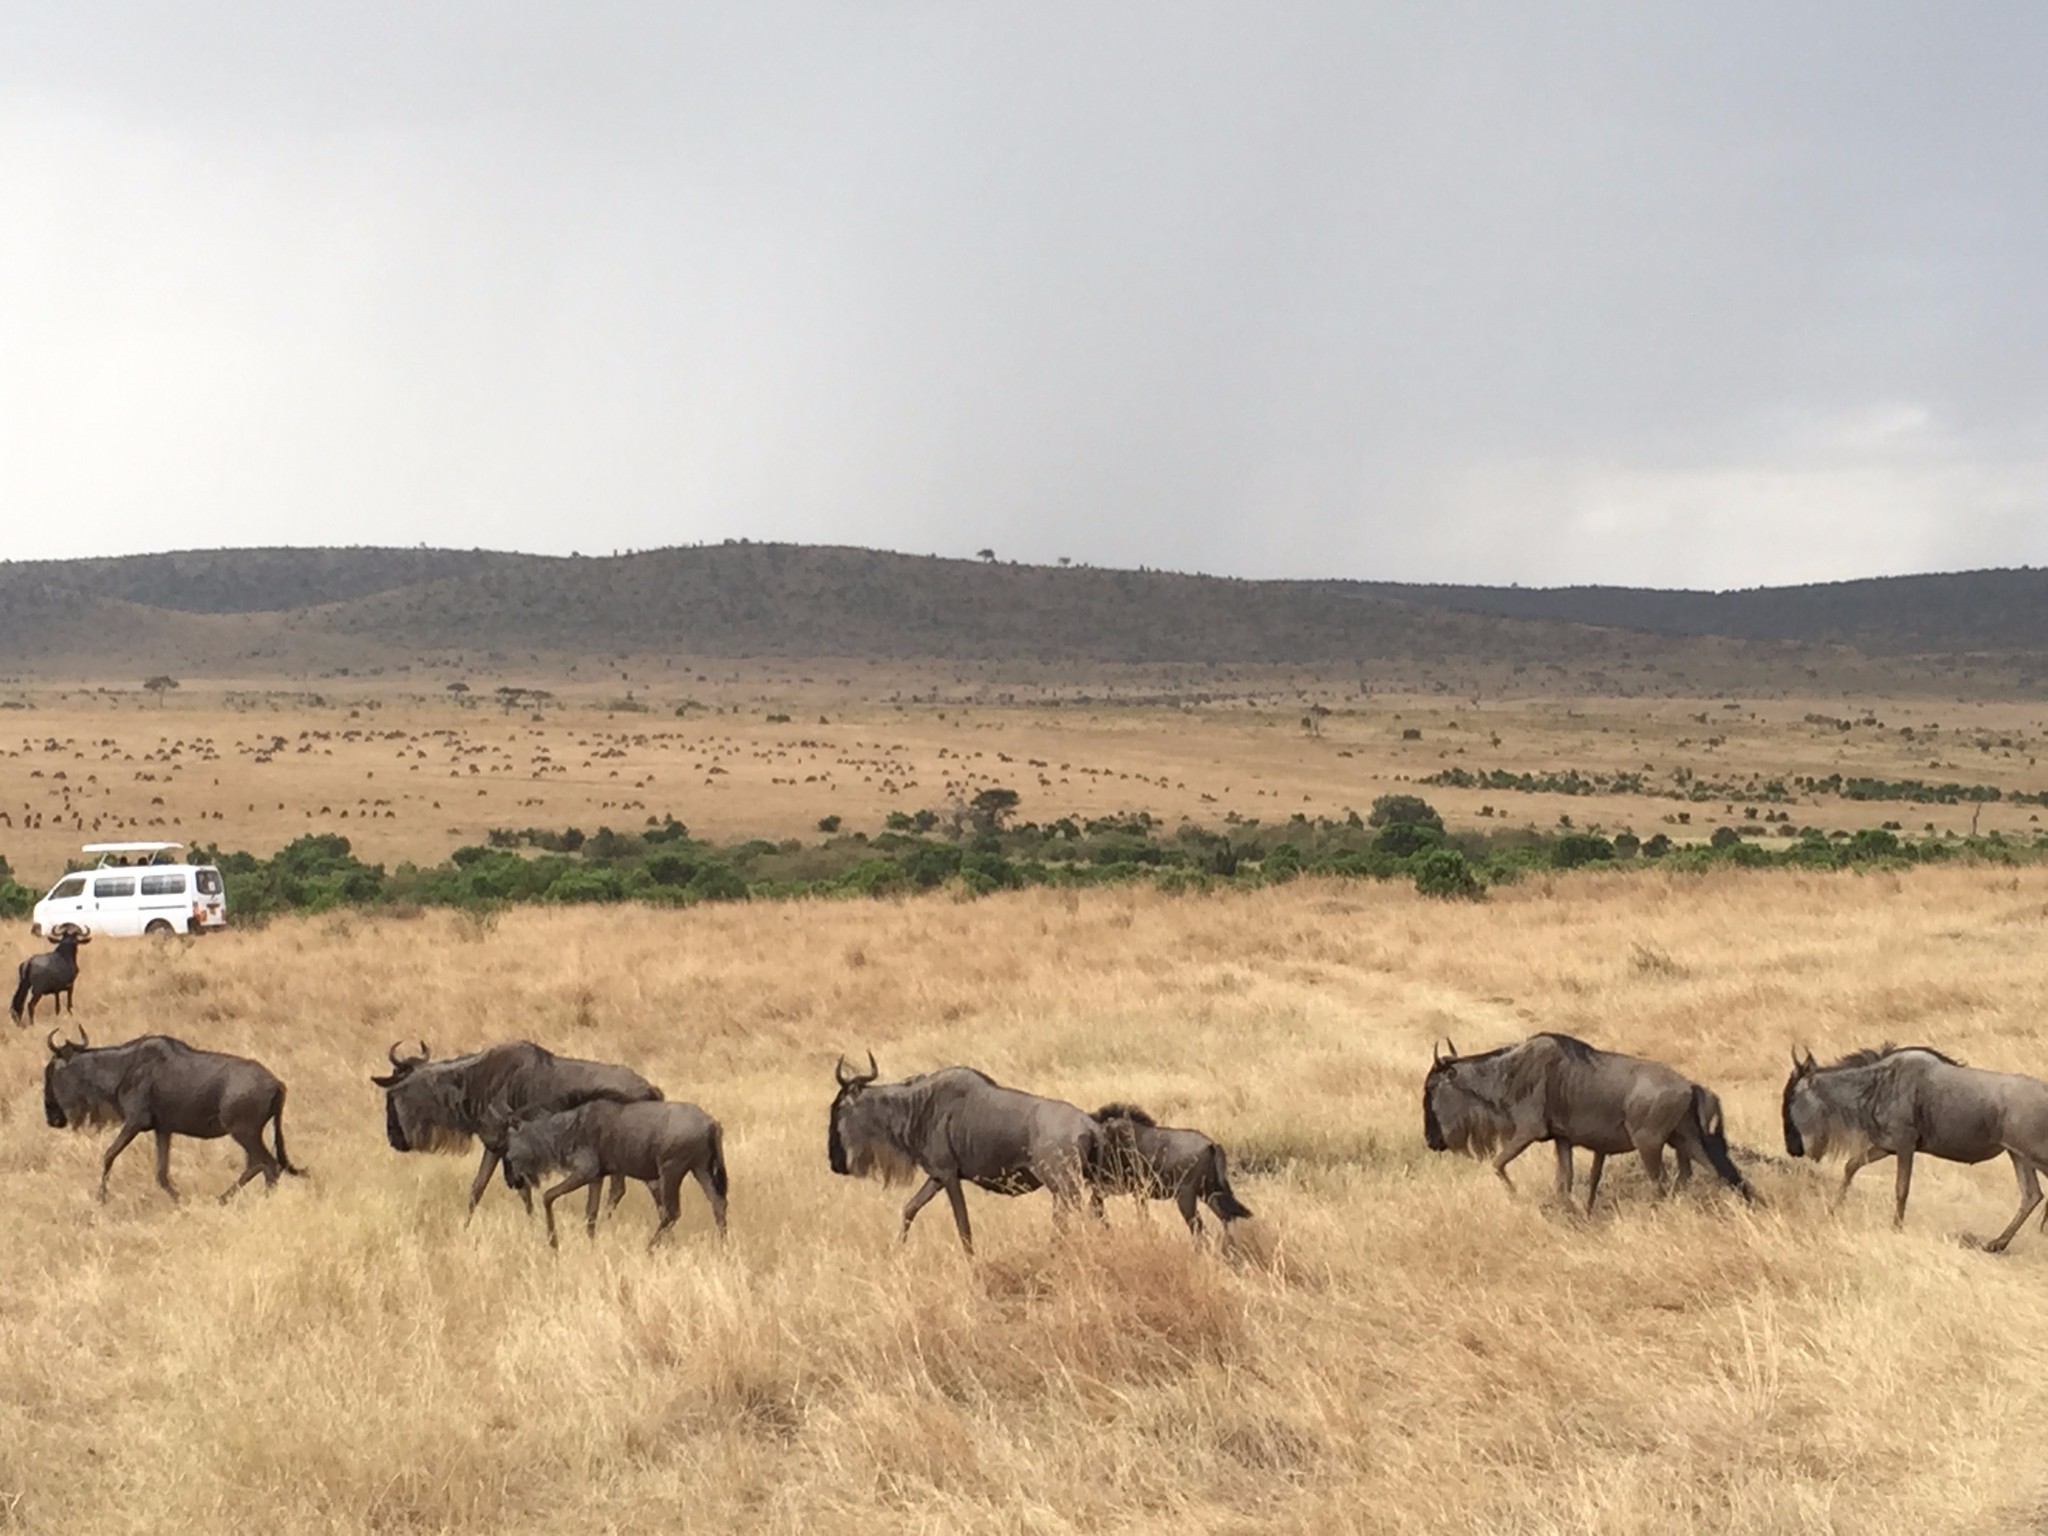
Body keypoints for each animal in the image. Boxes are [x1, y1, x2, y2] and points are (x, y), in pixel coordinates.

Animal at [44, 1028, 303, 1212]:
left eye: (50, 1072)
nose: (52, 1118)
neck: (123, 1068)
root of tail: (277, 1084)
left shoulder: (135, 1122)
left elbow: (109, 1155)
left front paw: (101, 1198)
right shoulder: (163, 1130)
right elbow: (161, 1173)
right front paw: (180, 1200)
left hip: (244, 1132)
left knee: (269, 1165)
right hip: (248, 1134)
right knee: (256, 1166)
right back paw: (221, 1200)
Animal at [501, 1097, 729, 1245]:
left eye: (510, 1152)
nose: (515, 1182)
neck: (562, 1132)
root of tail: (712, 1124)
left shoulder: (586, 1171)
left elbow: (548, 1196)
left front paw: (553, 1242)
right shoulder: (597, 1177)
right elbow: (591, 1213)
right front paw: (590, 1244)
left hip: (672, 1169)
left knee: (672, 1212)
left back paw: (649, 1248)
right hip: (700, 1169)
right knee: (718, 1203)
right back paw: (723, 1248)